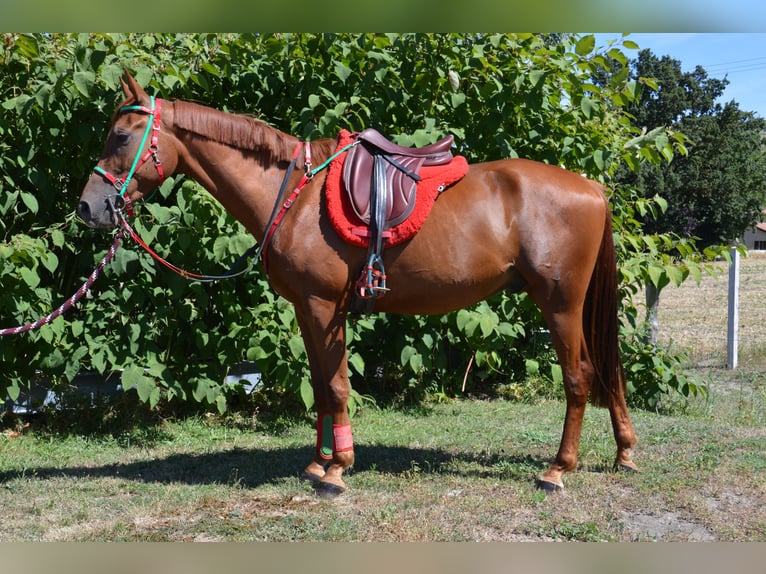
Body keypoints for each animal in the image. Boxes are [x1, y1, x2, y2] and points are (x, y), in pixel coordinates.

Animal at [79, 74, 640, 498]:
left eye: (122, 137)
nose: (89, 207)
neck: (293, 195)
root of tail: (592, 189)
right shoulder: (308, 310)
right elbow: (321, 386)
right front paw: (318, 462)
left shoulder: (324, 306)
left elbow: (335, 385)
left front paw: (337, 470)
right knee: (605, 370)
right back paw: (624, 453)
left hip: (560, 303)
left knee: (580, 376)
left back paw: (557, 470)